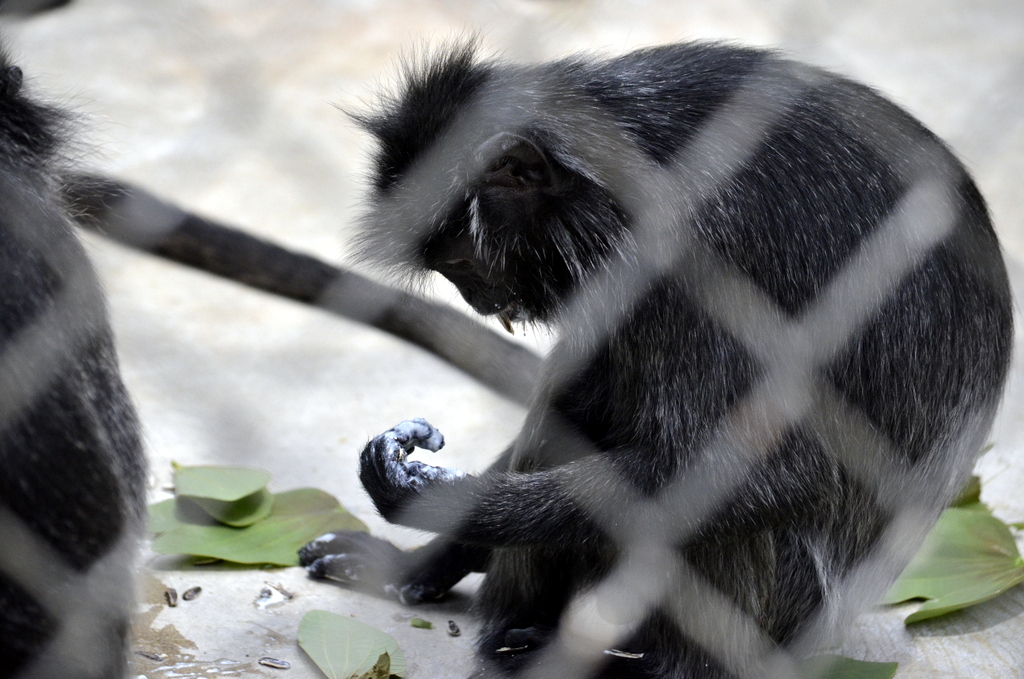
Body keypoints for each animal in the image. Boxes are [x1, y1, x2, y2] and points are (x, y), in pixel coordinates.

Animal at [299, 43, 1012, 678]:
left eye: (461, 262)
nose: (478, 300)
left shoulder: (693, 246)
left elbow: (781, 472)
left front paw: (439, 501)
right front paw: (416, 562)